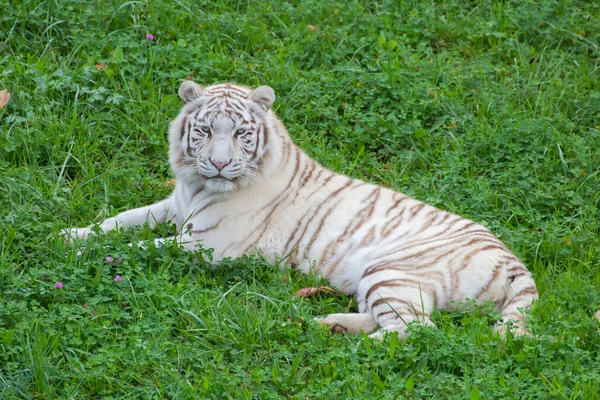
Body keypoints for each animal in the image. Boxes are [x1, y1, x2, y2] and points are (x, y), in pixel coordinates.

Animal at [64, 83, 540, 340]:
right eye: (204, 131)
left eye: (240, 133)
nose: (218, 163)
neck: (198, 186)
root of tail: (512, 259)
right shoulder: (173, 206)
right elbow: (120, 220)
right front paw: (67, 235)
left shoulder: (209, 245)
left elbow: (142, 247)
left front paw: (82, 254)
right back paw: (324, 323)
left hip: (391, 269)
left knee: (415, 330)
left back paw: (346, 344)